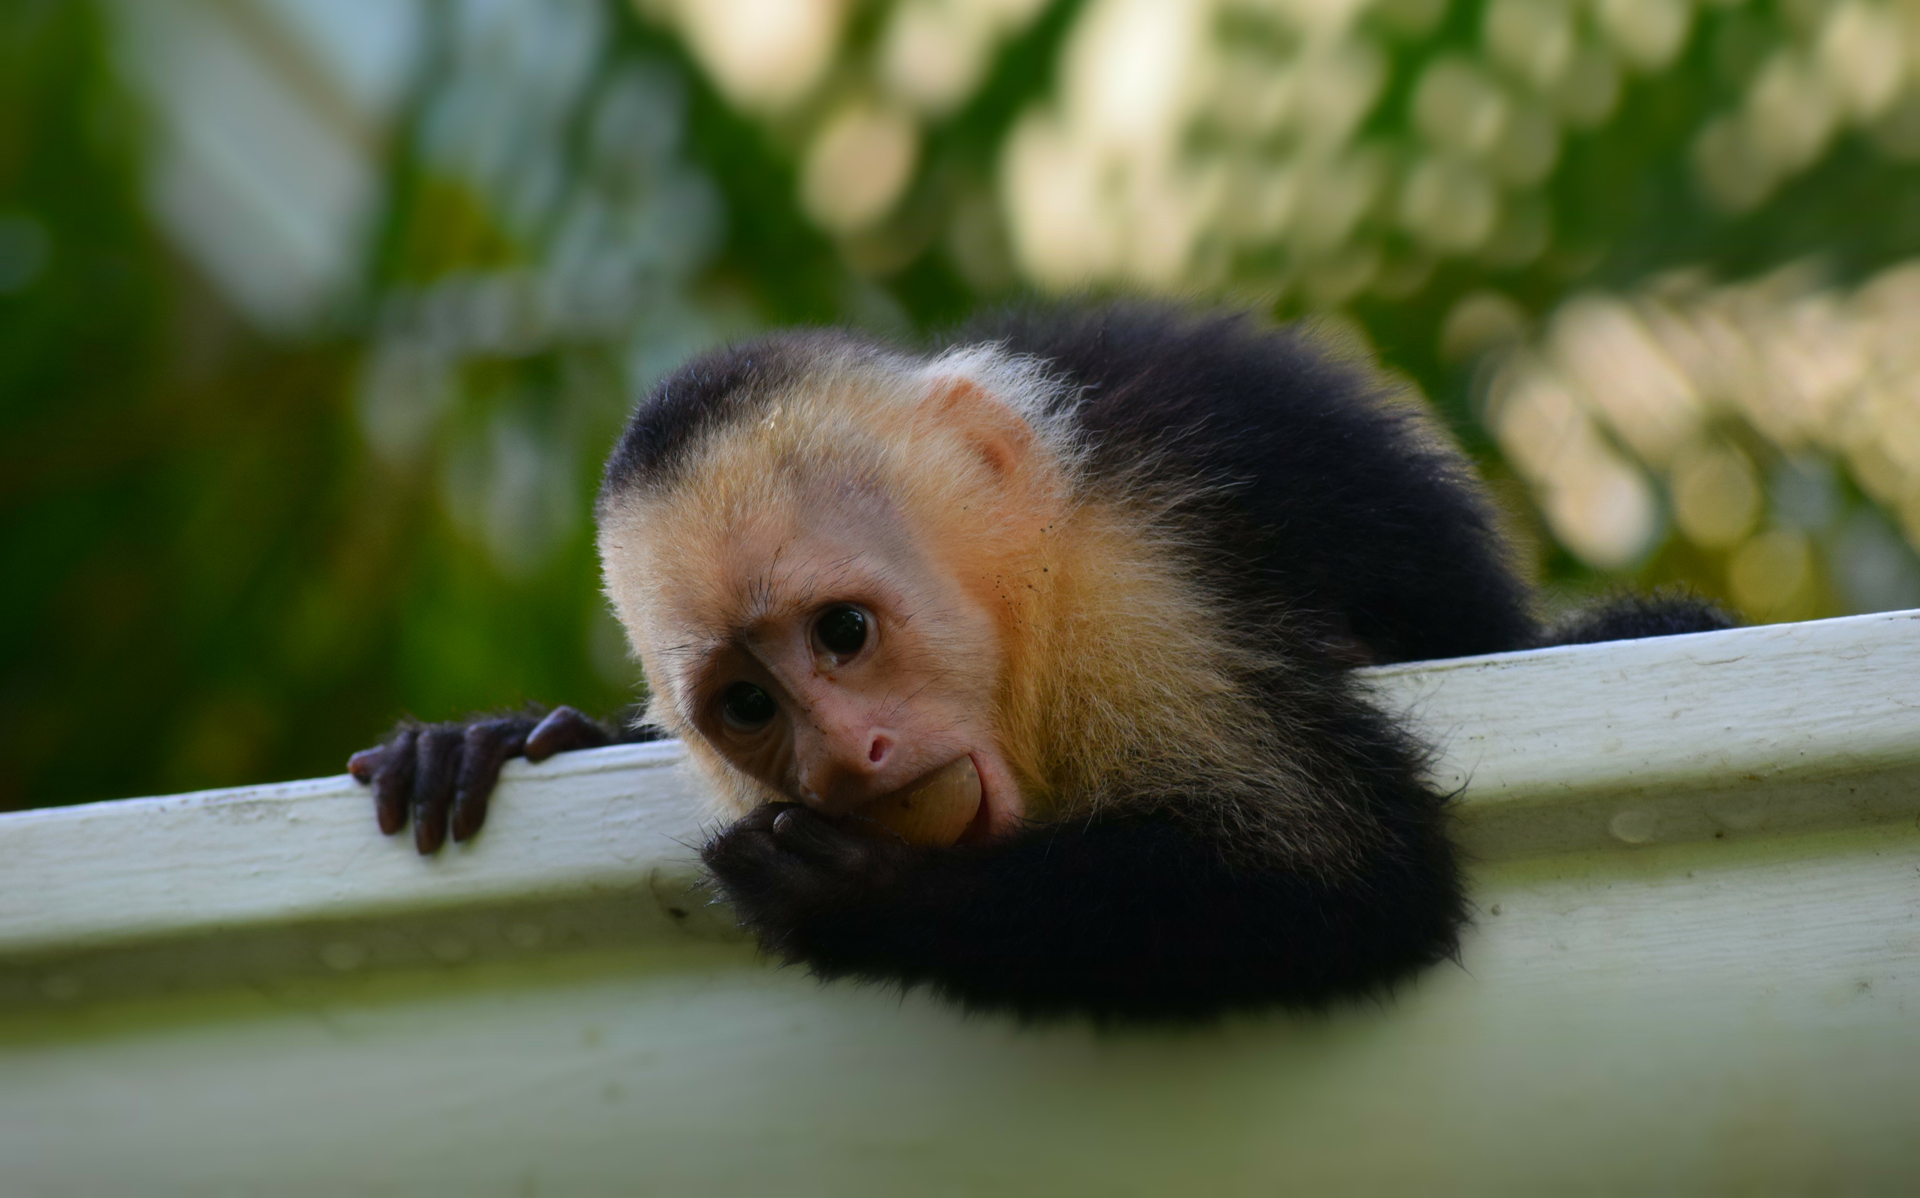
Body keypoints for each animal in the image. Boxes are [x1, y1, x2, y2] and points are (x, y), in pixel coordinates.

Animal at [348, 303, 1732, 1022]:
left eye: (843, 633)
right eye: (747, 704)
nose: (851, 760)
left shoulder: (1124, 595)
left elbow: (1344, 869)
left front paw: (863, 895)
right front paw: (502, 736)